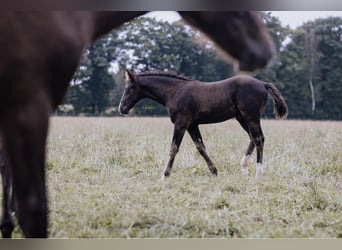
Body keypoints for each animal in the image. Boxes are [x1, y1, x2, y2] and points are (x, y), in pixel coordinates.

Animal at [119, 71, 288, 178]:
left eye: (131, 88)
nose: (122, 108)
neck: (174, 92)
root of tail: (263, 84)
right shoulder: (192, 125)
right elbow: (200, 147)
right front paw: (214, 172)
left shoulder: (181, 123)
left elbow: (174, 148)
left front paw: (164, 175)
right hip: (242, 118)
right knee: (254, 138)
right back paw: (244, 168)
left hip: (251, 117)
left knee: (258, 139)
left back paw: (258, 172)